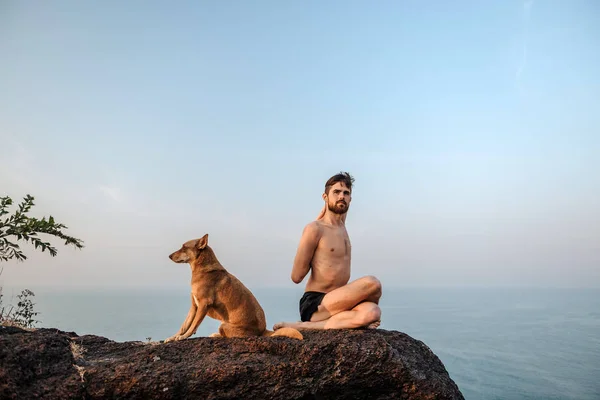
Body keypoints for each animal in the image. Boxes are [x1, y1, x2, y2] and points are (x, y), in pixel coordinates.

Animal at [164, 233, 302, 342]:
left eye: (184, 247)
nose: (169, 256)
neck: (203, 269)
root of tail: (262, 330)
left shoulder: (203, 304)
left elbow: (193, 325)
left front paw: (183, 336)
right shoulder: (194, 306)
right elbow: (184, 325)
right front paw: (173, 337)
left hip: (224, 325)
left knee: (227, 336)